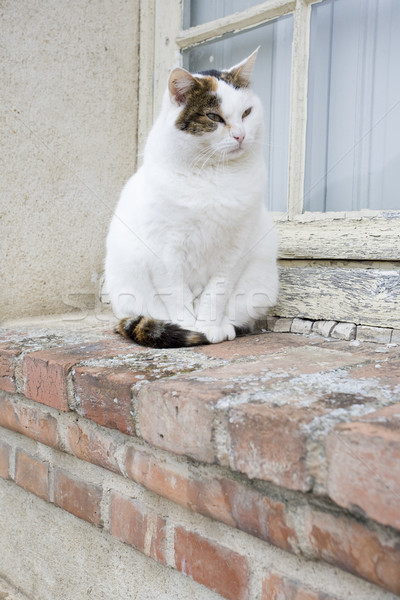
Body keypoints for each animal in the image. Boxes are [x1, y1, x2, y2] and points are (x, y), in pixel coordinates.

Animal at [104, 49, 278, 350]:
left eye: (247, 112)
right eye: (213, 116)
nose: (241, 135)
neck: (212, 175)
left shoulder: (235, 248)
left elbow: (216, 293)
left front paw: (209, 327)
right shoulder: (165, 250)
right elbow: (177, 295)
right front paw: (188, 327)